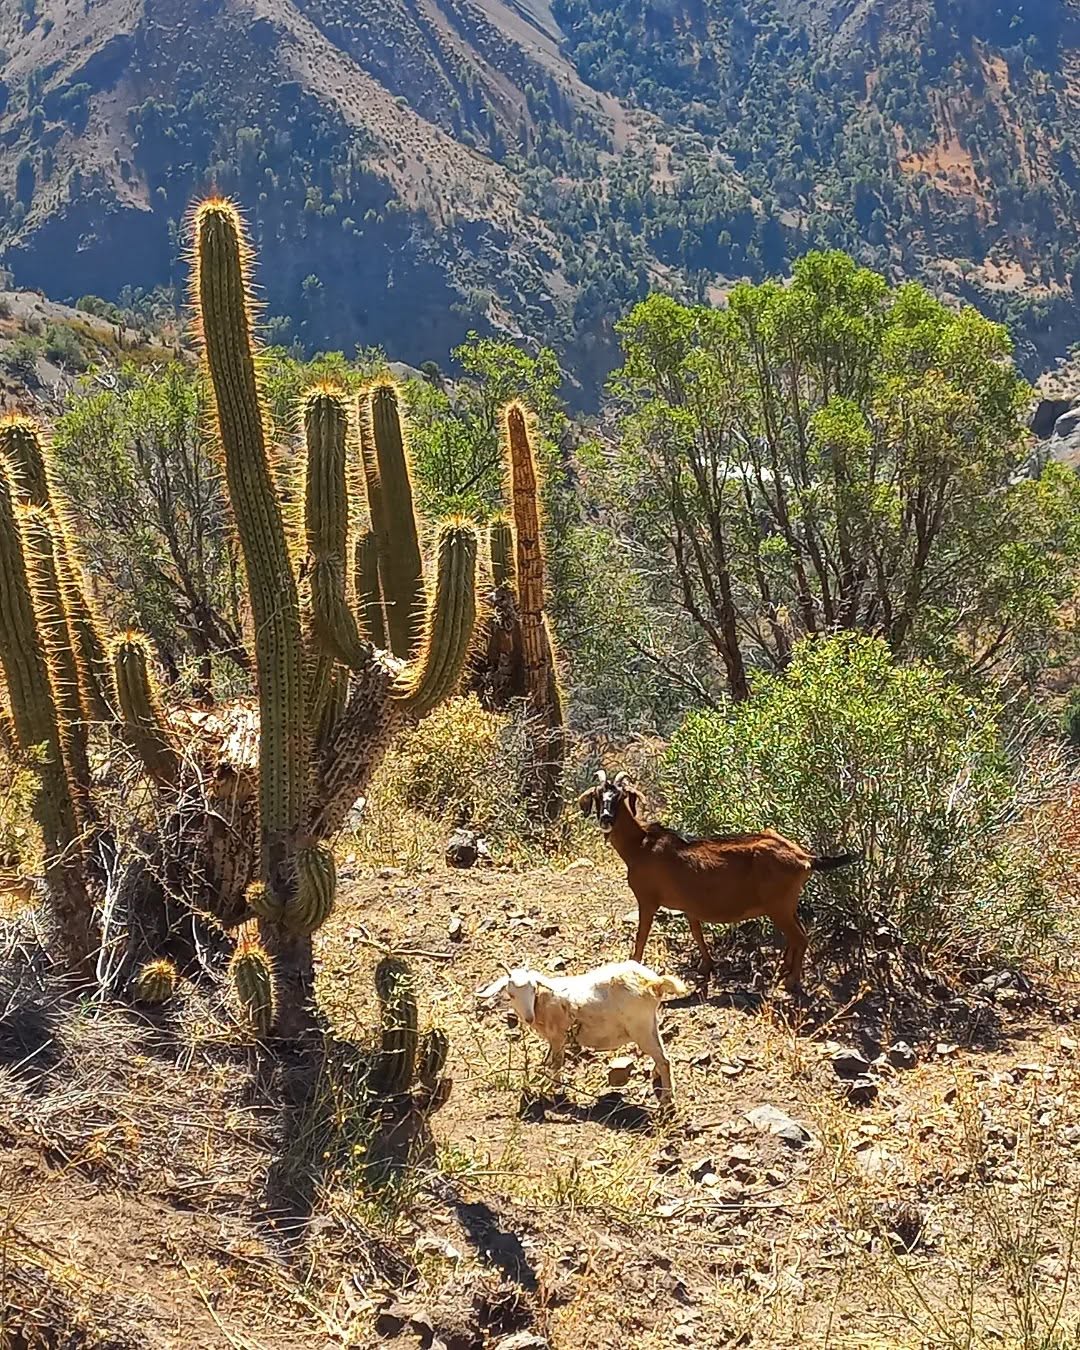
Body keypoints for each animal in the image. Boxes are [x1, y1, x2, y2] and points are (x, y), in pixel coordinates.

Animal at [477, 960, 688, 1102]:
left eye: (533, 989)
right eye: (511, 994)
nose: (529, 1018)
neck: (542, 1003)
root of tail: (654, 983)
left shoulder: (558, 1037)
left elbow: (556, 1063)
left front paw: (555, 1087)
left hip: (639, 1027)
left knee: (664, 1060)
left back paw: (666, 1098)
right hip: (649, 1024)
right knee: (661, 1055)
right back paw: (656, 1076)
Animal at [579, 771, 861, 991]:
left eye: (619, 797)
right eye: (598, 796)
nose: (606, 819)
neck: (641, 845)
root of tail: (805, 858)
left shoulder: (647, 899)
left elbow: (641, 936)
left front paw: (633, 966)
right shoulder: (689, 905)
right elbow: (697, 932)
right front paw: (706, 966)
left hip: (778, 906)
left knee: (800, 938)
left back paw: (792, 981)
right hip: (787, 903)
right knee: (797, 935)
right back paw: (783, 970)